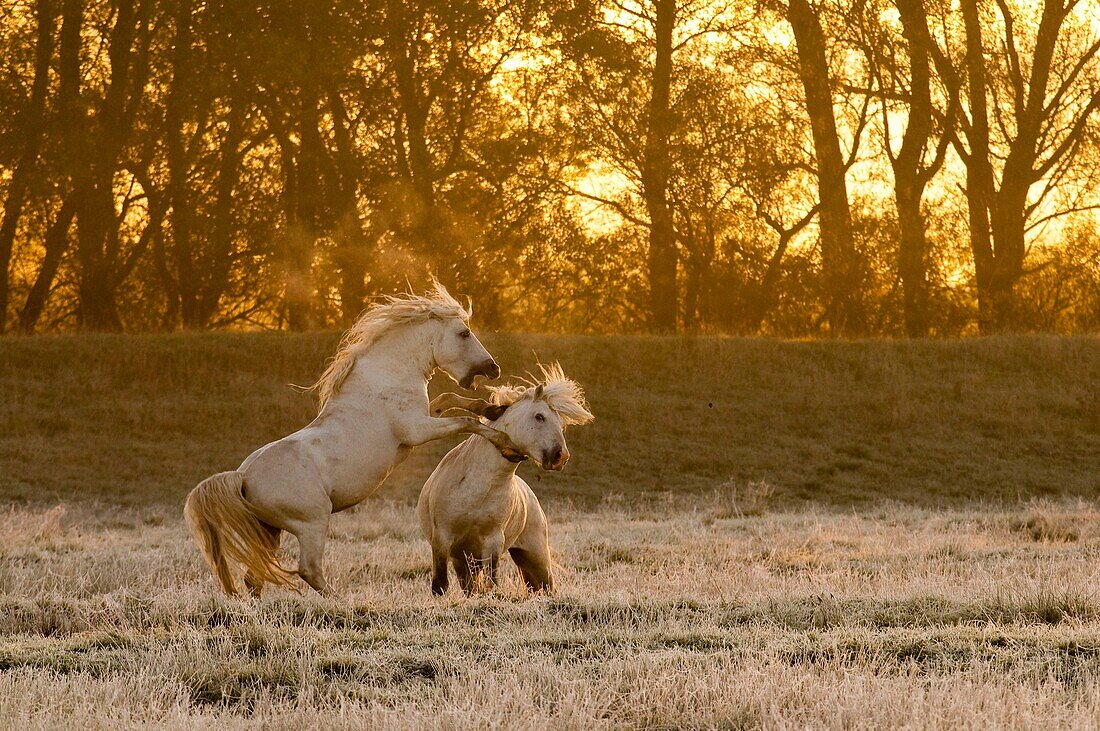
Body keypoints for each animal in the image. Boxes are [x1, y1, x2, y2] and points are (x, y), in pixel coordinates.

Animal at [183, 281, 523, 597]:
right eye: (464, 333)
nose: (493, 368)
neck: (384, 376)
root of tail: (242, 475)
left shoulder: (425, 416)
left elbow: (450, 401)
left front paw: (492, 408)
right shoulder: (417, 430)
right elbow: (465, 422)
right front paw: (505, 441)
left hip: (270, 531)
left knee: (254, 577)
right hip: (312, 523)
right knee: (308, 570)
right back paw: (339, 600)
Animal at [418, 362, 594, 597]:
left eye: (561, 424)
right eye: (540, 416)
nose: (561, 457)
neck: (478, 488)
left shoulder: (492, 542)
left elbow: (492, 582)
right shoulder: (442, 540)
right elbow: (440, 585)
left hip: (535, 557)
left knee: (546, 586)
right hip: (463, 561)